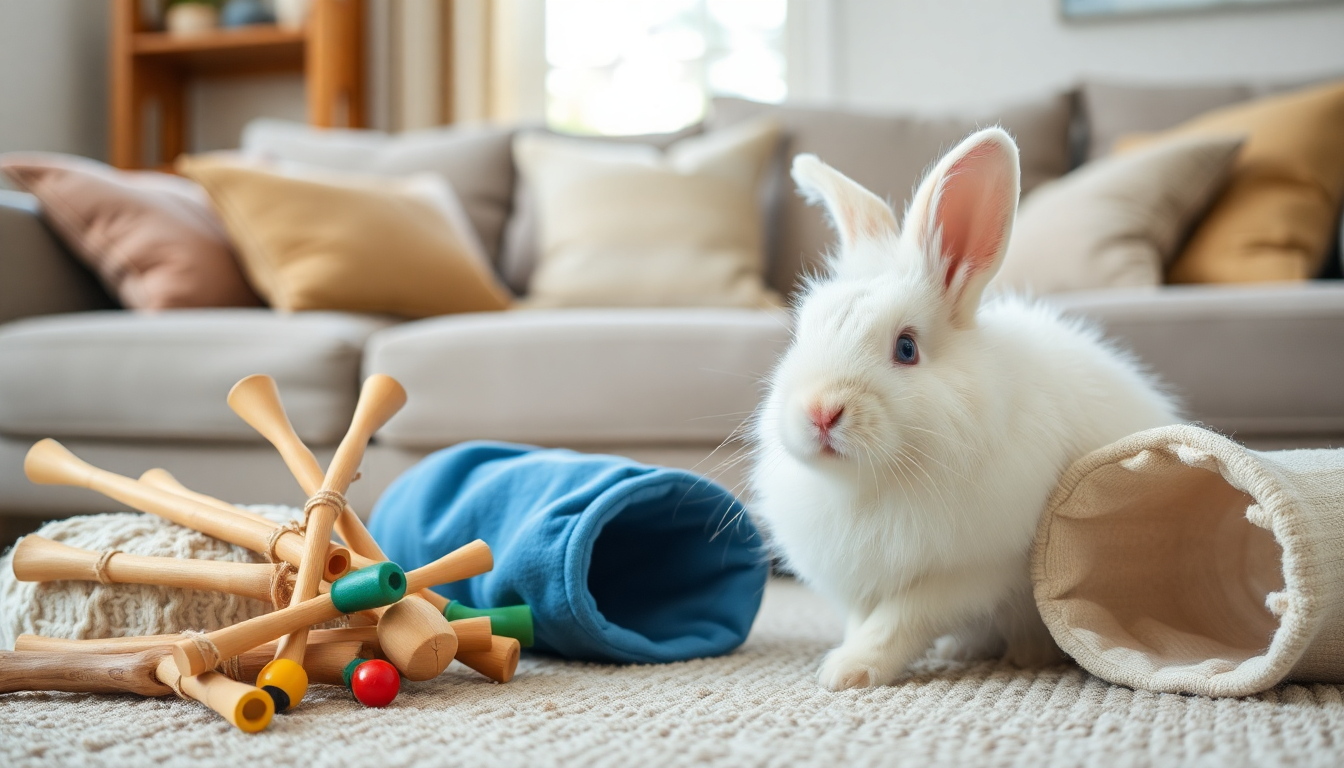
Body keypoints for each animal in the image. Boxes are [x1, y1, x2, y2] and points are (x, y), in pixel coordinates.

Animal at [748, 127, 1181, 691]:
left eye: (906, 348)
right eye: (800, 336)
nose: (821, 411)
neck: (870, 484)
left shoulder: (966, 572)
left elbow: (898, 620)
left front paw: (846, 672)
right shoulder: (859, 580)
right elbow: (866, 619)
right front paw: (845, 662)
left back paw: (1024, 655)